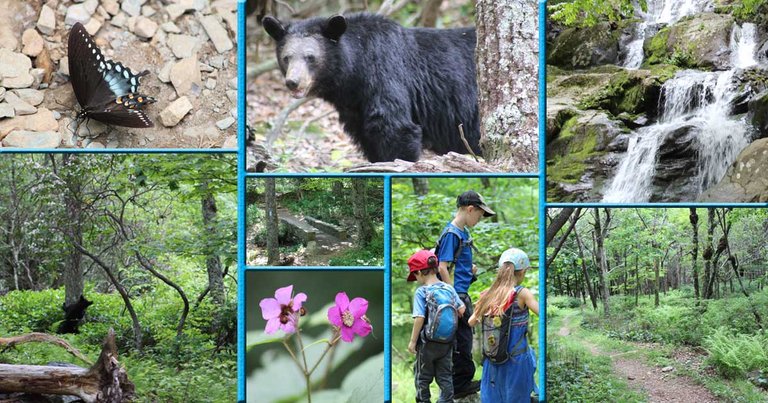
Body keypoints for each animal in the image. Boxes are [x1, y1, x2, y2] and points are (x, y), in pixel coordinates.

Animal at [264, 14, 480, 163]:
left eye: (310, 57)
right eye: (286, 57)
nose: (293, 82)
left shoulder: (386, 74)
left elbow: (396, 129)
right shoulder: (355, 108)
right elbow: (369, 139)